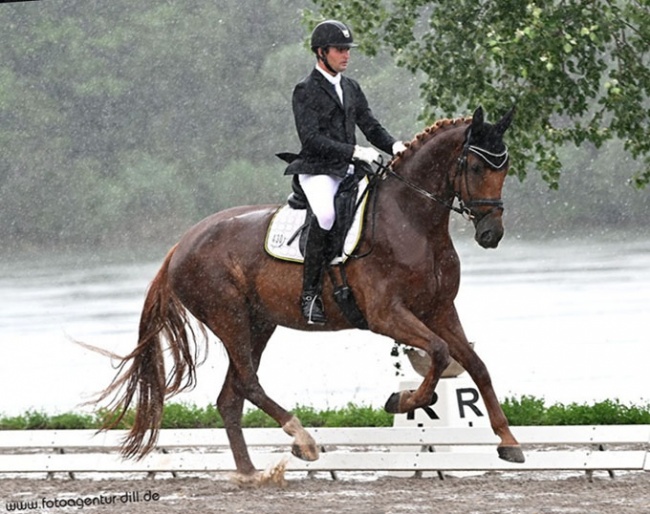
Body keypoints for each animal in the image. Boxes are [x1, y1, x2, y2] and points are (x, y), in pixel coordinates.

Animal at [96, 104, 520, 480]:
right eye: (476, 167)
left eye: (505, 168)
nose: (491, 234)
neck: (413, 222)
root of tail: (181, 244)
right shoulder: (386, 316)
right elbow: (439, 352)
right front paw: (403, 401)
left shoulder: (440, 310)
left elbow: (476, 364)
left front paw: (509, 442)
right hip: (229, 317)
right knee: (249, 384)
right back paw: (302, 440)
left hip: (258, 323)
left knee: (231, 397)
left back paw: (250, 473)